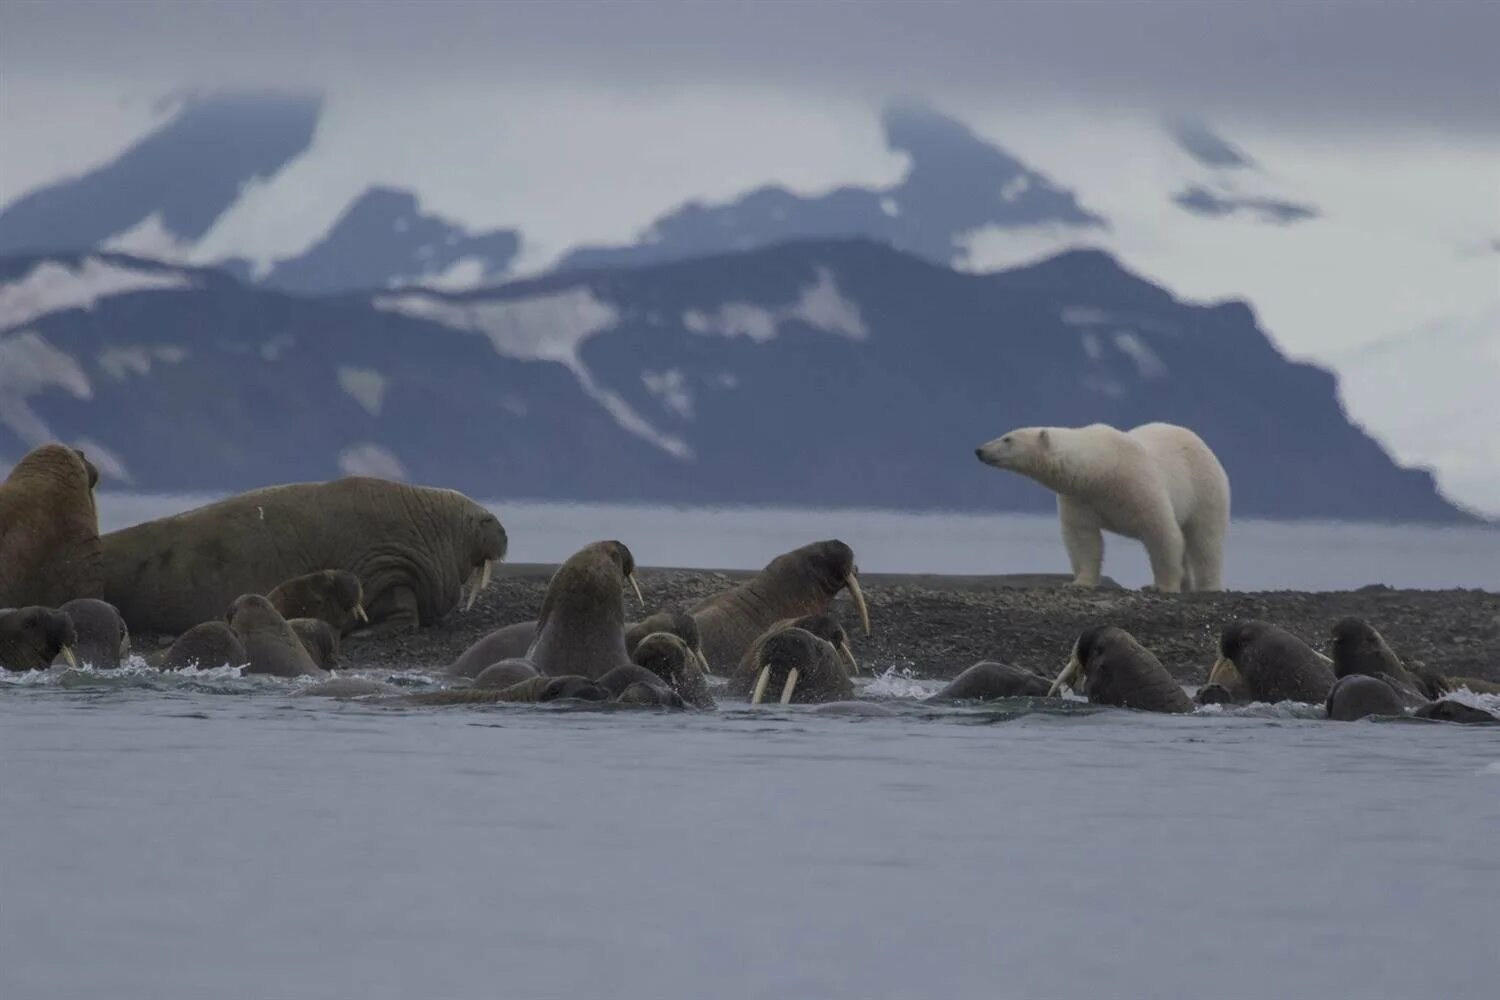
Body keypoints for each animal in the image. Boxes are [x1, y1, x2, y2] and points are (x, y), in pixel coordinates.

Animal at [972, 425, 1230, 593]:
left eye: (1007, 439)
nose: (980, 450)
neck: (1101, 468)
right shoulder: (1080, 496)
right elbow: (1082, 537)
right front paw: (1079, 582)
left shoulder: (1138, 483)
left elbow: (1161, 531)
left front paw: (1163, 586)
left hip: (1204, 487)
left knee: (1205, 539)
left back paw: (1209, 585)